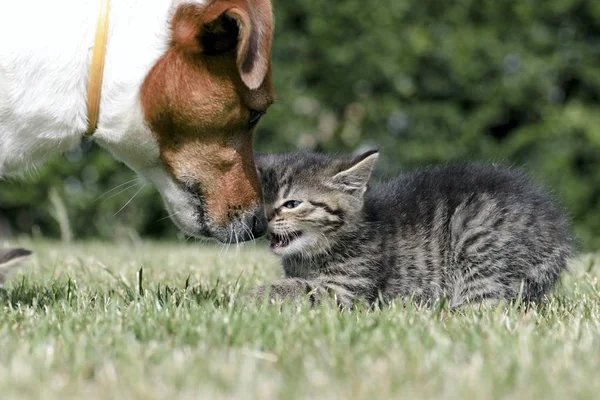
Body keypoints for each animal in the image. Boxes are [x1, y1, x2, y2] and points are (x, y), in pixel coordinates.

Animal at [248, 152, 572, 308]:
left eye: (292, 203)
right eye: (262, 198)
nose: (263, 220)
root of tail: (558, 231)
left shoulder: (346, 290)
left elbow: (299, 289)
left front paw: (247, 295)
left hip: (478, 243)